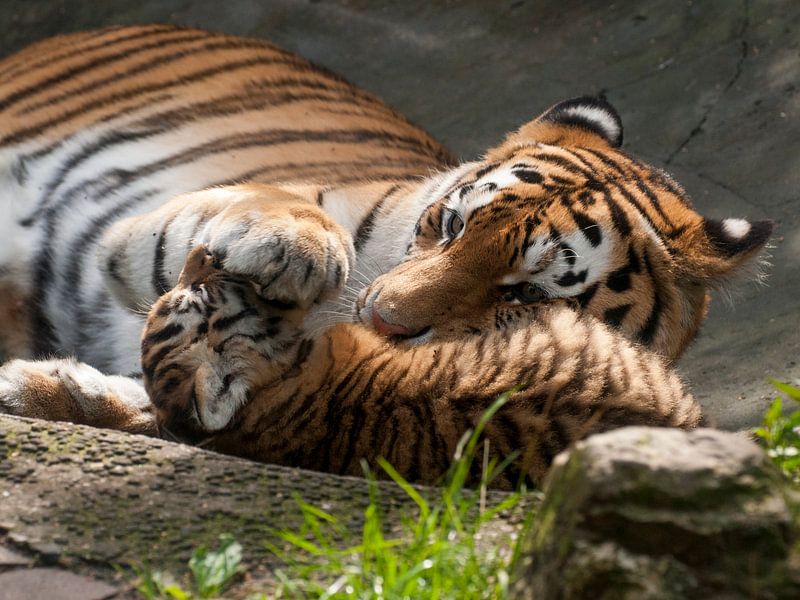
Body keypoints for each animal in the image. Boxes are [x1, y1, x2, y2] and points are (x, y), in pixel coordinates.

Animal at [0, 27, 772, 488]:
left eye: (526, 293)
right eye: (453, 224)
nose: (383, 320)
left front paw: (51, 387)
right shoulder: (142, 234)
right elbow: (266, 214)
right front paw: (291, 248)